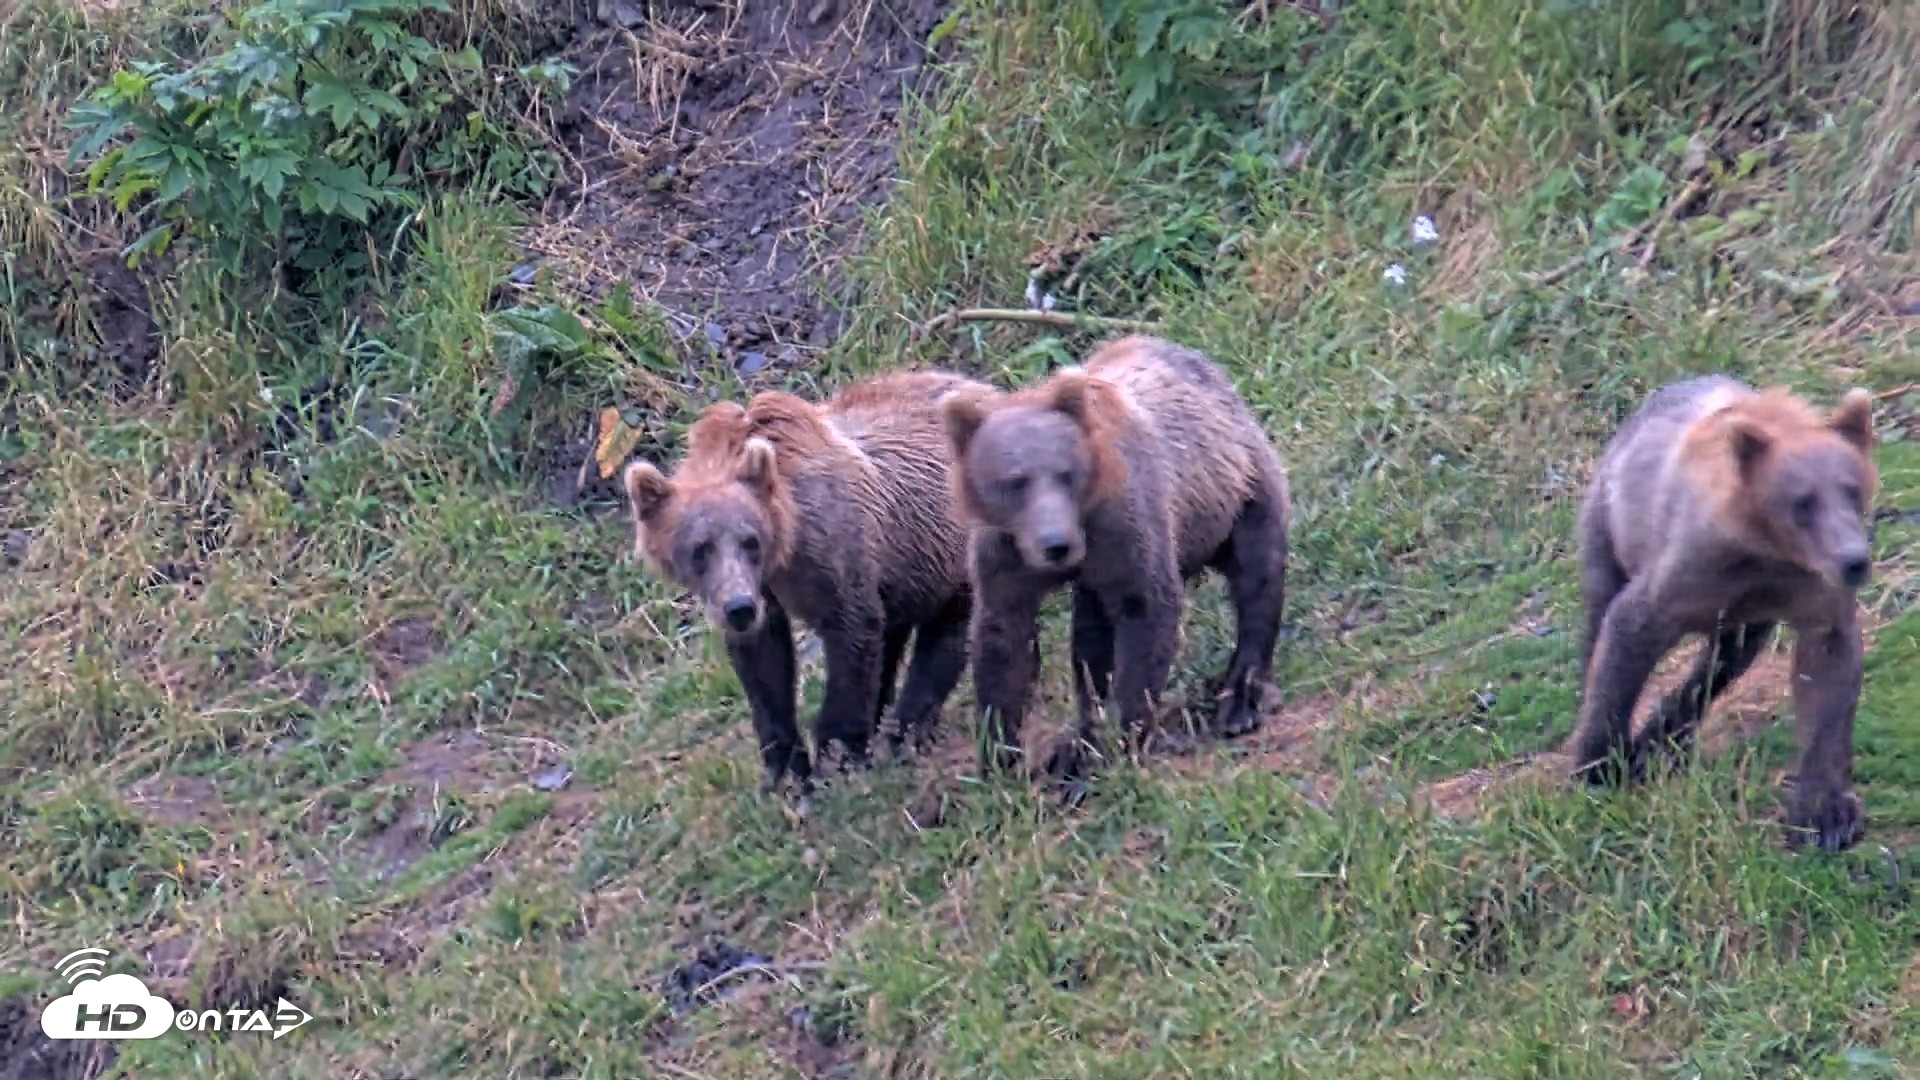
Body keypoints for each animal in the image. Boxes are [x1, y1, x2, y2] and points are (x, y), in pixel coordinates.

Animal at [622, 369, 989, 794]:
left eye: (750, 540)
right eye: (700, 549)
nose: (738, 609)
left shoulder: (835, 550)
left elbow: (851, 634)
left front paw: (837, 757)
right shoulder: (763, 591)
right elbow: (765, 665)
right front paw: (785, 771)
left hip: (951, 546)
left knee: (950, 630)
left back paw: (905, 732)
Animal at [939, 335, 1292, 783]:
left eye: (1064, 473)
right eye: (1014, 482)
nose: (1056, 544)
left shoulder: (1125, 526)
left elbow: (1144, 611)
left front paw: (1124, 739)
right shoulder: (1005, 553)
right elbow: (1003, 639)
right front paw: (1000, 757)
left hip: (1236, 488)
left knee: (1257, 575)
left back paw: (1241, 698)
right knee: (1090, 637)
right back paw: (1076, 742)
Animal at [1566, 374, 1879, 852]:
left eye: (1852, 488)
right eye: (1803, 502)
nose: (1854, 561)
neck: (1765, 548)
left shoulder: (1805, 590)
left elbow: (1827, 672)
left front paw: (1827, 815)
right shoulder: (1691, 567)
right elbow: (1628, 630)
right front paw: (1599, 762)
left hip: (1746, 617)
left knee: (1723, 662)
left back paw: (1662, 738)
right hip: (1607, 522)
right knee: (1600, 612)